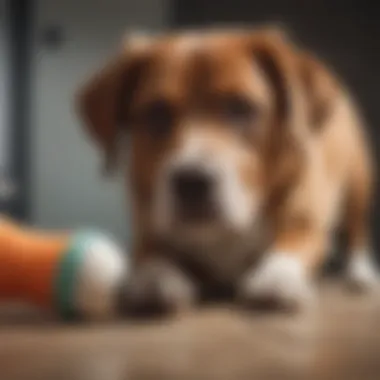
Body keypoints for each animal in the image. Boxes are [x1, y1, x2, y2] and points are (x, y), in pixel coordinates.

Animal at [76, 26, 378, 312]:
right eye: (156, 112)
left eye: (240, 108)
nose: (192, 182)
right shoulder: (147, 228)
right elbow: (150, 252)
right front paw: (153, 277)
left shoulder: (305, 223)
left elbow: (292, 246)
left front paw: (277, 277)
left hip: (358, 186)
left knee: (356, 233)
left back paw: (360, 274)